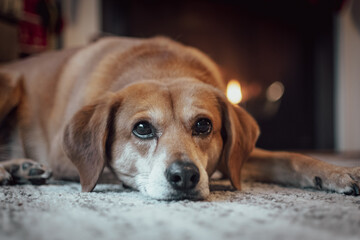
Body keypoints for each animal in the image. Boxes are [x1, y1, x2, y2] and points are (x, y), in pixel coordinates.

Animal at [0, 37, 360, 199]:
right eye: (141, 129)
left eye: (203, 125)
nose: (185, 176)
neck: (164, 70)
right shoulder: (65, 161)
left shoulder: (234, 156)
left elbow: (291, 158)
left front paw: (337, 173)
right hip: (9, 84)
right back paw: (13, 169)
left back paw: (22, 168)